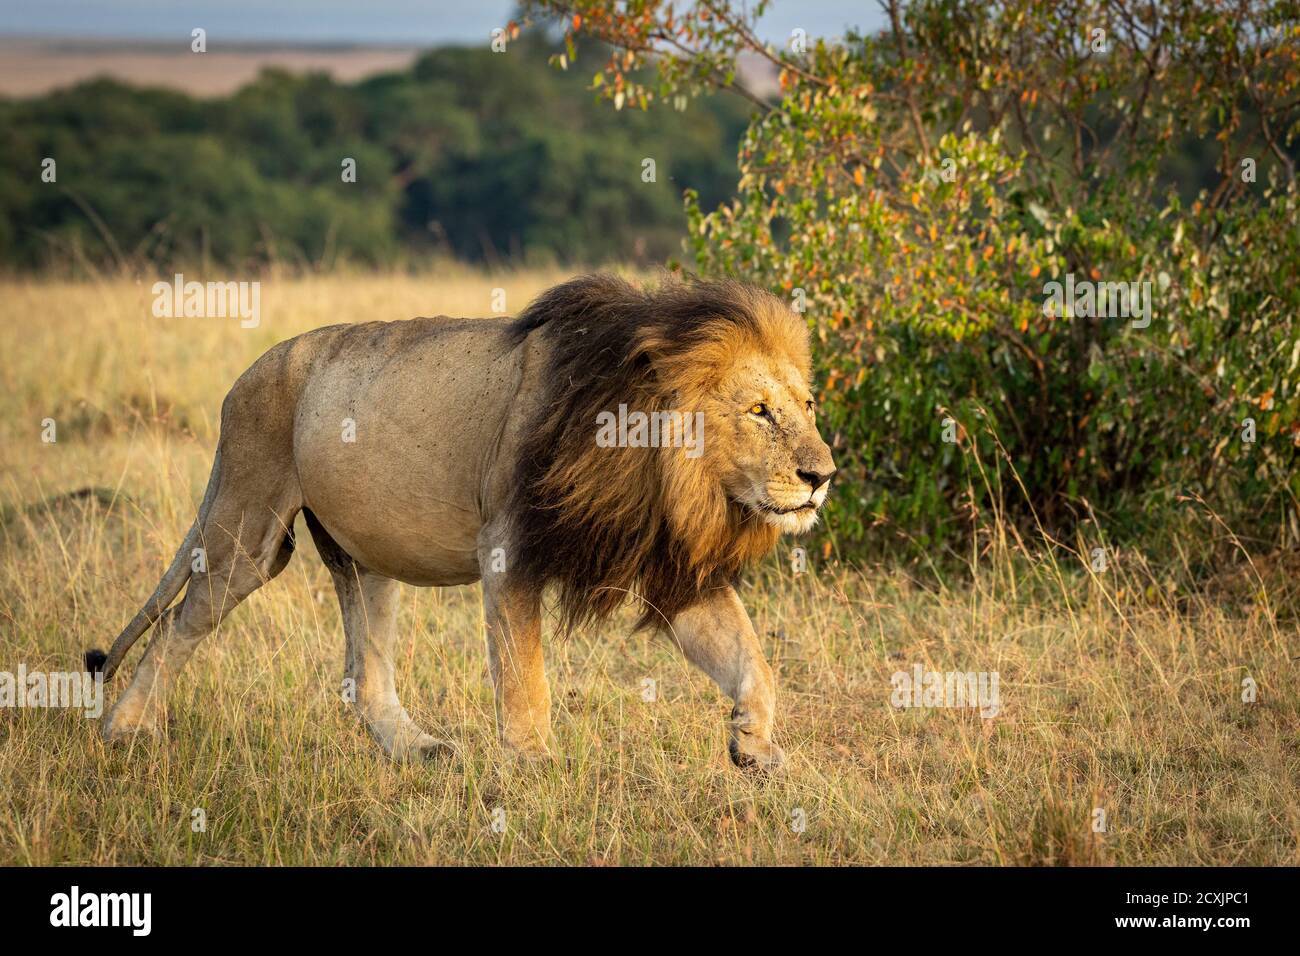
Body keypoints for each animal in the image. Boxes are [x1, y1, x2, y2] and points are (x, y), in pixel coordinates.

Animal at [86, 270, 837, 770]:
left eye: (805, 405)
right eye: (759, 412)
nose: (822, 476)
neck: (661, 472)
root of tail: (243, 377)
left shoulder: (670, 563)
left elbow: (749, 658)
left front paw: (755, 744)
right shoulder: (508, 548)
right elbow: (524, 677)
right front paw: (533, 768)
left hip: (365, 555)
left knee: (366, 676)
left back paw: (417, 749)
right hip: (248, 526)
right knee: (177, 627)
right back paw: (125, 730)